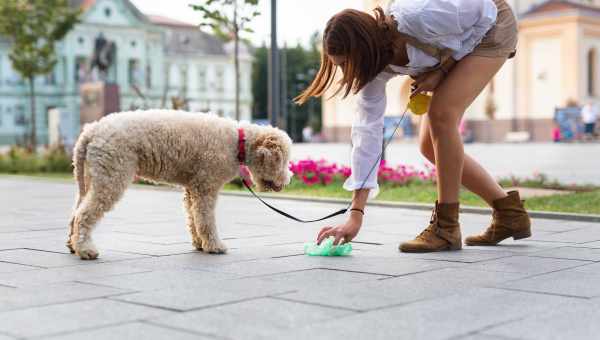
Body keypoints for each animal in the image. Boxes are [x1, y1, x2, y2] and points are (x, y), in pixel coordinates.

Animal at [67, 110, 292, 258]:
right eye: (284, 160)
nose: (288, 180)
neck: (238, 142)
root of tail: (91, 130)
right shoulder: (206, 186)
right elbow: (205, 219)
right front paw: (214, 246)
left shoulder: (192, 188)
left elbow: (193, 219)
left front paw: (200, 244)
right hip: (111, 176)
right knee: (85, 214)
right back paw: (86, 250)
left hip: (90, 177)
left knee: (75, 212)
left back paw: (72, 245)